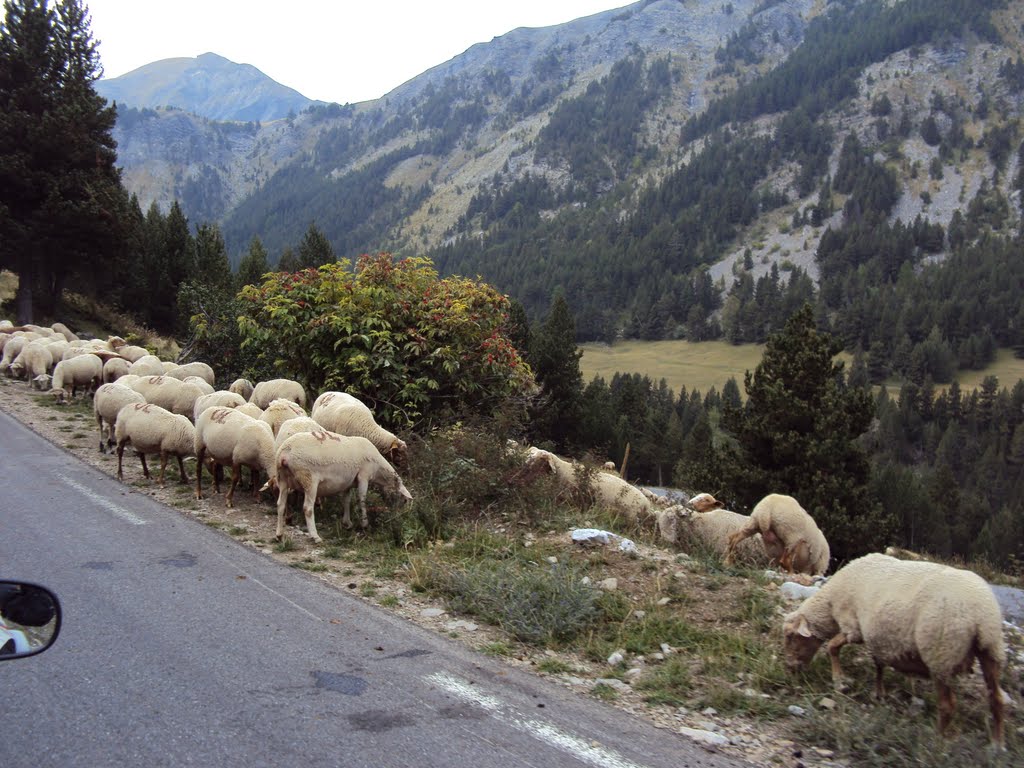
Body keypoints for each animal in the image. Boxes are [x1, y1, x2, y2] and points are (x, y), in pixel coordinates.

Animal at [268, 430, 411, 544]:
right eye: (404, 500)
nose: (400, 517)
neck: (378, 470)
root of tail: (285, 453)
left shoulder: (347, 482)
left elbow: (346, 501)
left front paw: (347, 523)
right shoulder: (363, 476)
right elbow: (362, 499)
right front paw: (365, 524)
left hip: (282, 479)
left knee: (280, 505)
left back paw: (279, 535)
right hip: (308, 478)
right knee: (307, 508)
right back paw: (315, 536)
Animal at [782, 552, 1007, 753]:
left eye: (791, 636)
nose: (790, 668)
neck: (830, 603)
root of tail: (980, 614)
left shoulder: (853, 627)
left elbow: (832, 647)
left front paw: (839, 681)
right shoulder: (879, 637)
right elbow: (879, 664)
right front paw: (879, 693)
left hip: (941, 653)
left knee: (947, 705)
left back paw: (937, 740)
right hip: (991, 649)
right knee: (996, 699)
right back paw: (997, 744)